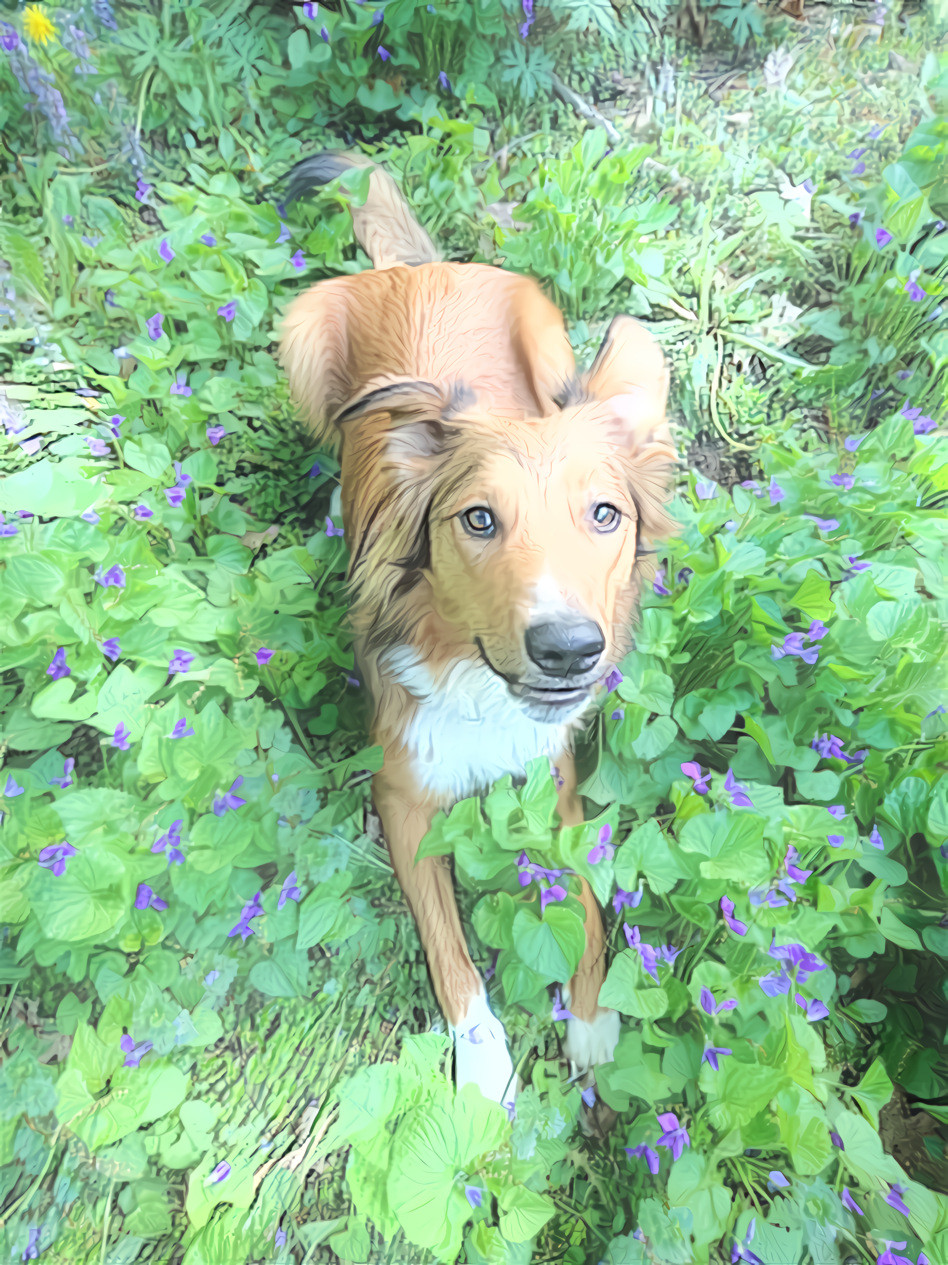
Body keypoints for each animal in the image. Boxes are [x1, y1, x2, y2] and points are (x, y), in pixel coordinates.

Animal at [277, 150, 678, 1118]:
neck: (481, 684)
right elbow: (450, 947)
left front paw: (592, 1017)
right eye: (479, 520)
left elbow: (584, 899)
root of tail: (417, 269)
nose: (569, 649)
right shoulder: (400, 797)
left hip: (548, 330)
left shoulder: (556, 786)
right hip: (300, 337)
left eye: (605, 514)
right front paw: (484, 1060)